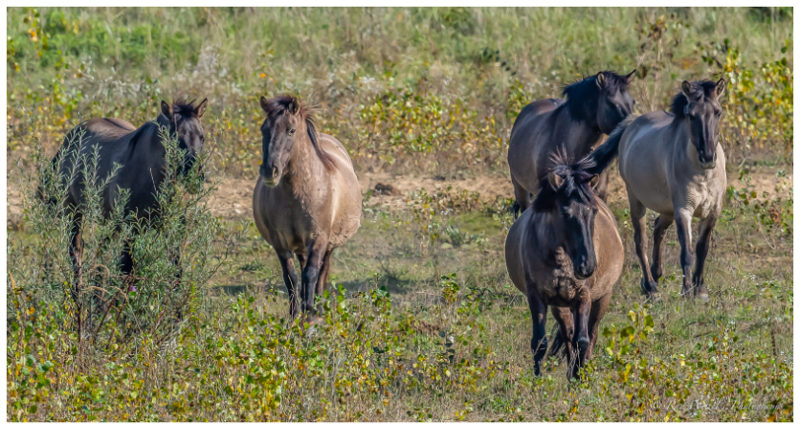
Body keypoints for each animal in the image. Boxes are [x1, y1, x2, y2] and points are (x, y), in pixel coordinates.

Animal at [253, 95, 362, 320]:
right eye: (263, 129)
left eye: (291, 130)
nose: (269, 170)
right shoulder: (280, 242)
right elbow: (291, 277)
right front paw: (294, 316)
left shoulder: (319, 237)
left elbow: (312, 274)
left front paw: (311, 313)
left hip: (328, 244)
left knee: (321, 271)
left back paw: (318, 307)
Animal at [506, 145, 624, 378]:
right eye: (564, 212)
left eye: (593, 211)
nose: (587, 266)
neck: (560, 261)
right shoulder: (537, 296)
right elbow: (540, 342)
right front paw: (538, 379)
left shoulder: (584, 295)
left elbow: (583, 339)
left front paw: (580, 376)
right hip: (559, 305)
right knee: (567, 333)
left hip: (603, 296)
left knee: (592, 333)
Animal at [604, 78, 728, 300]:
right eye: (691, 115)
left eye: (718, 112)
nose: (707, 157)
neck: (702, 174)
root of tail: (632, 124)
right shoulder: (683, 211)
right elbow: (686, 251)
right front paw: (686, 291)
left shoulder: (712, 212)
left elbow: (702, 249)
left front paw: (700, 290)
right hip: (636, 200)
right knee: (641, 241)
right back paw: (651, 287)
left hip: (667, 210)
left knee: (658, 230)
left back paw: (655, 275)